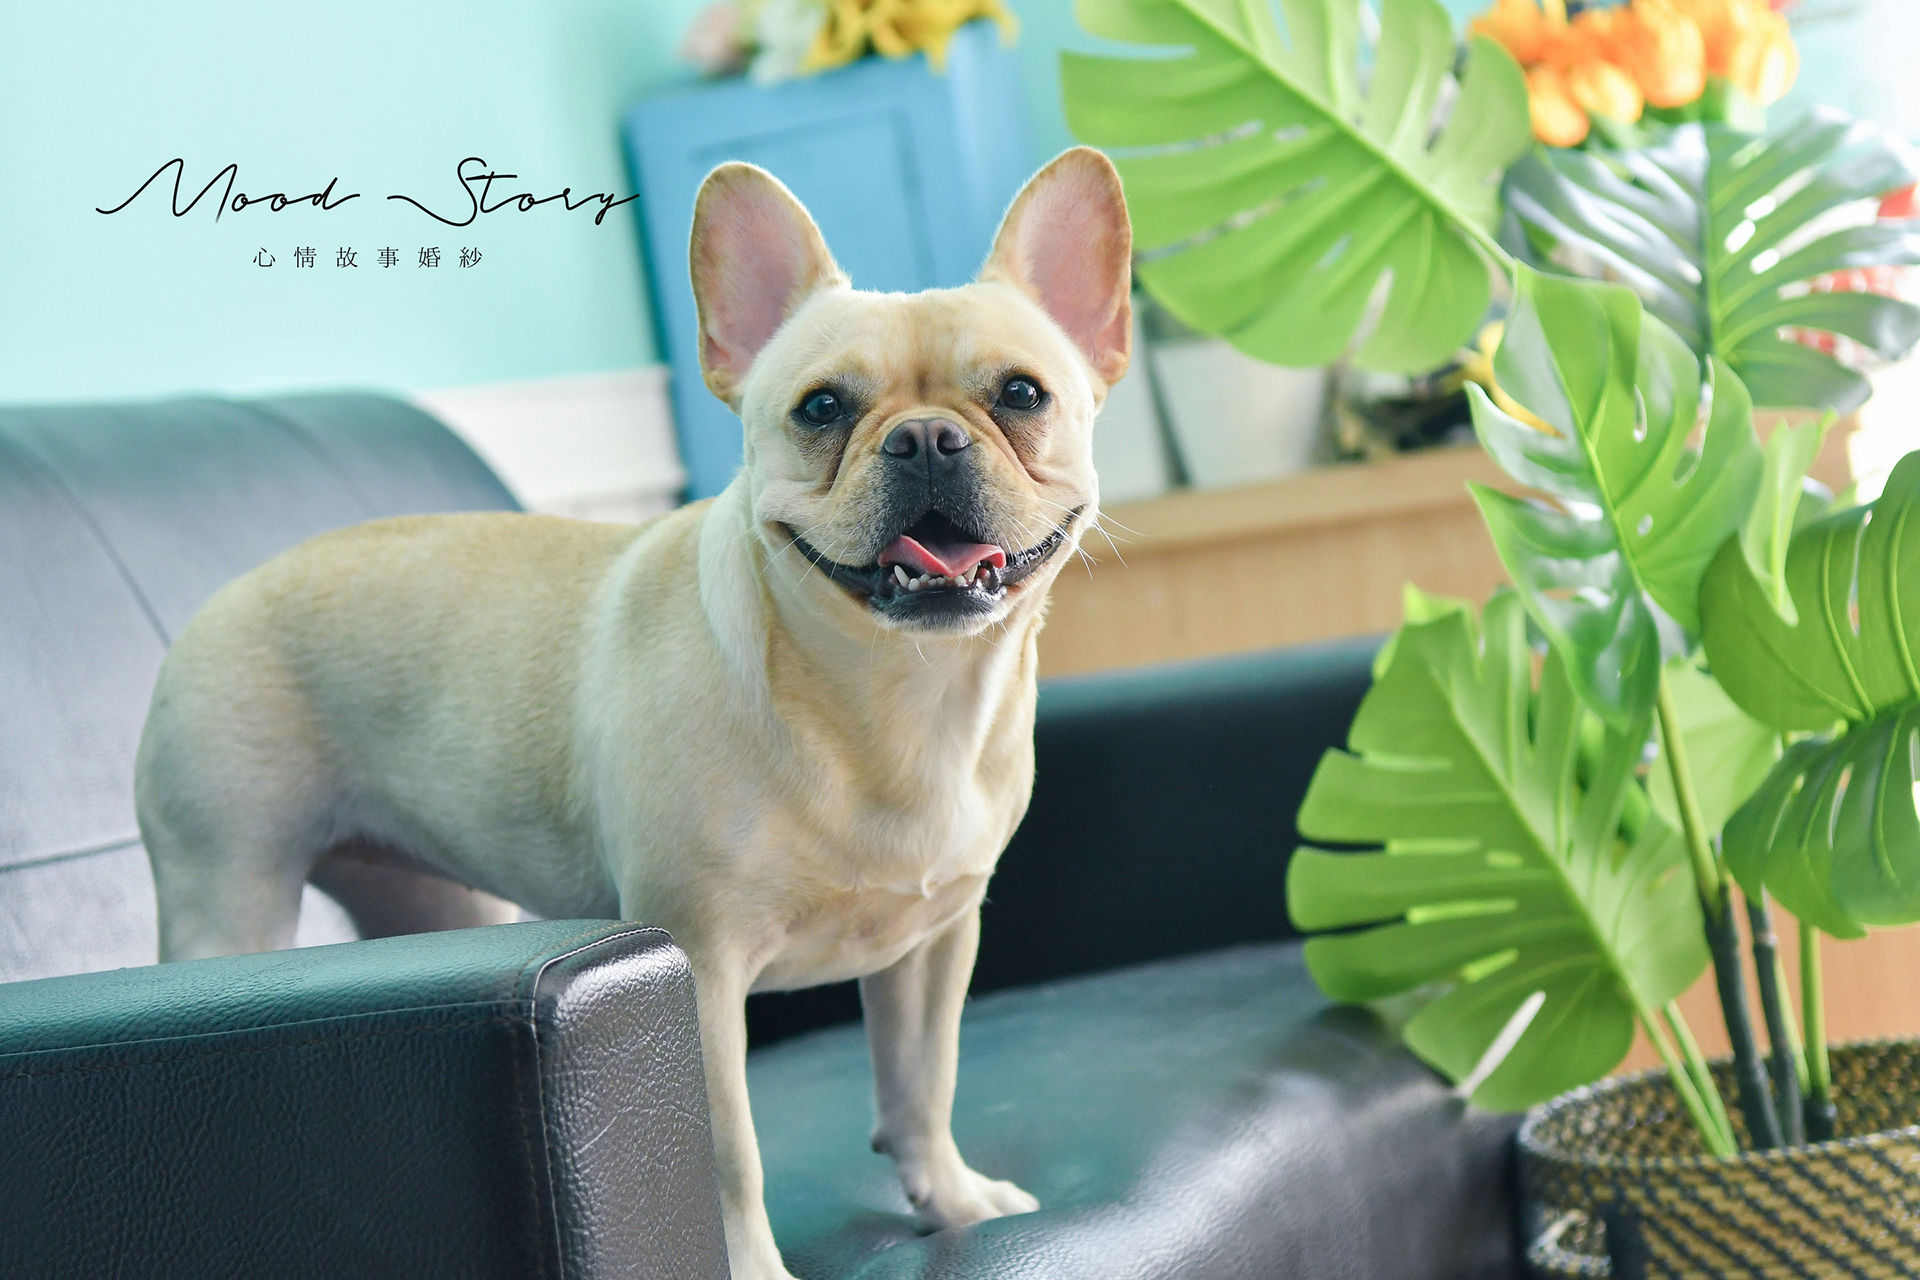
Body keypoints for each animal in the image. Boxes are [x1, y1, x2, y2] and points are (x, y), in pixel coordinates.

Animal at [135, 146, 1132, 1279]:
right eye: (821, 409)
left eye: (1022, 393)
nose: (924, 437)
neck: (888, 691)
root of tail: (227, 589)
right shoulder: (699, 968)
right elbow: (726, 1155)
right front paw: (752, 1268)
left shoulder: (932, 950)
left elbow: (923, 1082)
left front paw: (955, 1202)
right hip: (228, 893)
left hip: (433, 900)